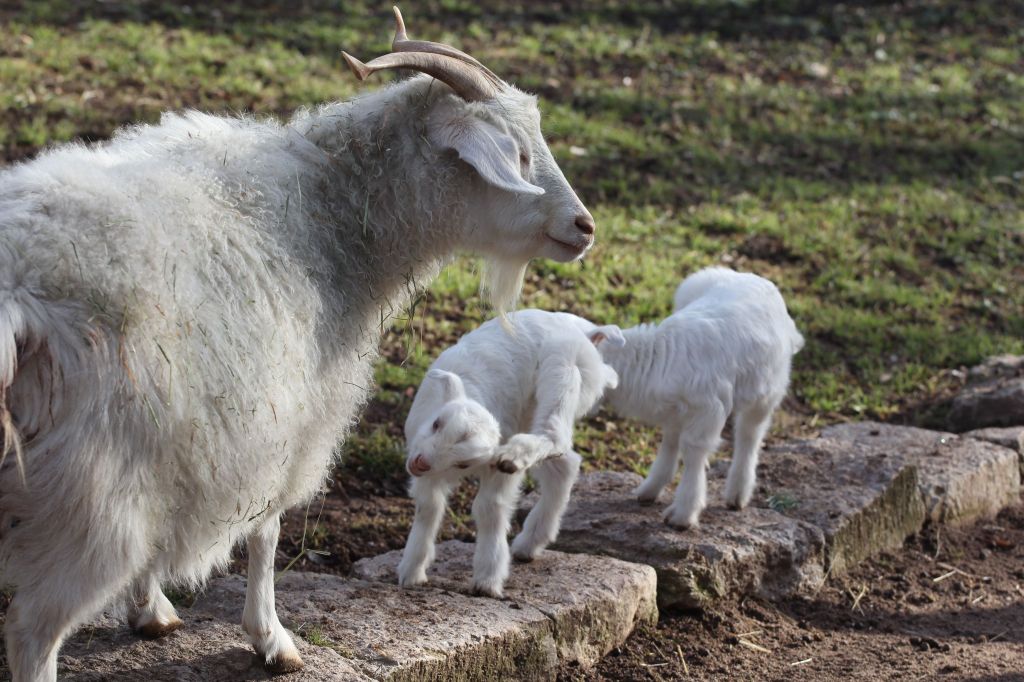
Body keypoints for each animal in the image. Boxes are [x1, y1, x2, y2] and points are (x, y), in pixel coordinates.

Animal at [0, 7, 598, 675]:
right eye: (516, 154)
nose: (584, 227)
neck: (330, 213)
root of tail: (18, 292)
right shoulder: (286, 425)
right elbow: (266, 532)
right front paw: (272, 638)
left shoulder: (187, 445)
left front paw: (150, 609)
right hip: (89, 497)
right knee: (32, 631)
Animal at [399, 309, 622, 593]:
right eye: (437, 423)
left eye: (462, 463)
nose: (420, 463)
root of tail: (588, 332)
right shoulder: (425, 462)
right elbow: (429, 507)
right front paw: (412, 572)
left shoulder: (493, 469)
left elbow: (489, 508)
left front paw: (487, 580)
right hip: (534, 410)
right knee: (565, 464)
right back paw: (530, 544)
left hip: (564, 366)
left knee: (555, 436)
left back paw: (515, 458)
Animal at [598, 266, 802, 524]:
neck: (656, 359)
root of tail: (758, 279)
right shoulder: (676, 411)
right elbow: (670, 443)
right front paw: (650, 490)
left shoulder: (709, 409)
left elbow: (693, 450)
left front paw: (683, 514)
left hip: (767, 391)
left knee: (749, 435)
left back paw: (737, 495)